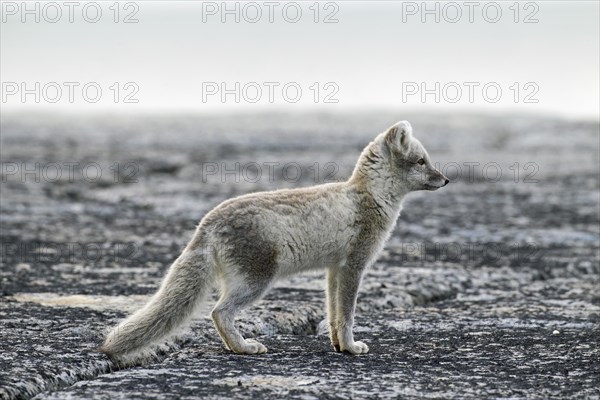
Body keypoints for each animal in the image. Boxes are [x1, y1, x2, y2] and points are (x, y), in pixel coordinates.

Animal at [102, 121, 450, 360]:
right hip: (257, 280)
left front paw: (339, 346)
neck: (369, 195)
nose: (446, 180)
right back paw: (245, 347)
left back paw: (235, 347)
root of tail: (208, 221)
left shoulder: (334, 270)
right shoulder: (354, 266)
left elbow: (333, 314)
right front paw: (352, 347)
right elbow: (347, 315)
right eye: (421, 161)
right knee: (218, 312)